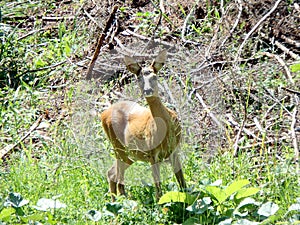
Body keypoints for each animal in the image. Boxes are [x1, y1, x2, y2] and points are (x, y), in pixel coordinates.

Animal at [101, 50, 185, 201]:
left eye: (154, 77)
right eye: (138, 78)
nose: (148, 90)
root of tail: (103, 114)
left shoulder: (175, 150)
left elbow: (182, 183)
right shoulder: (152, 154)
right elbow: (158, 189)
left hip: (130, 154)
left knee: (112, 173)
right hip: (118, 146)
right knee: (119, 179)